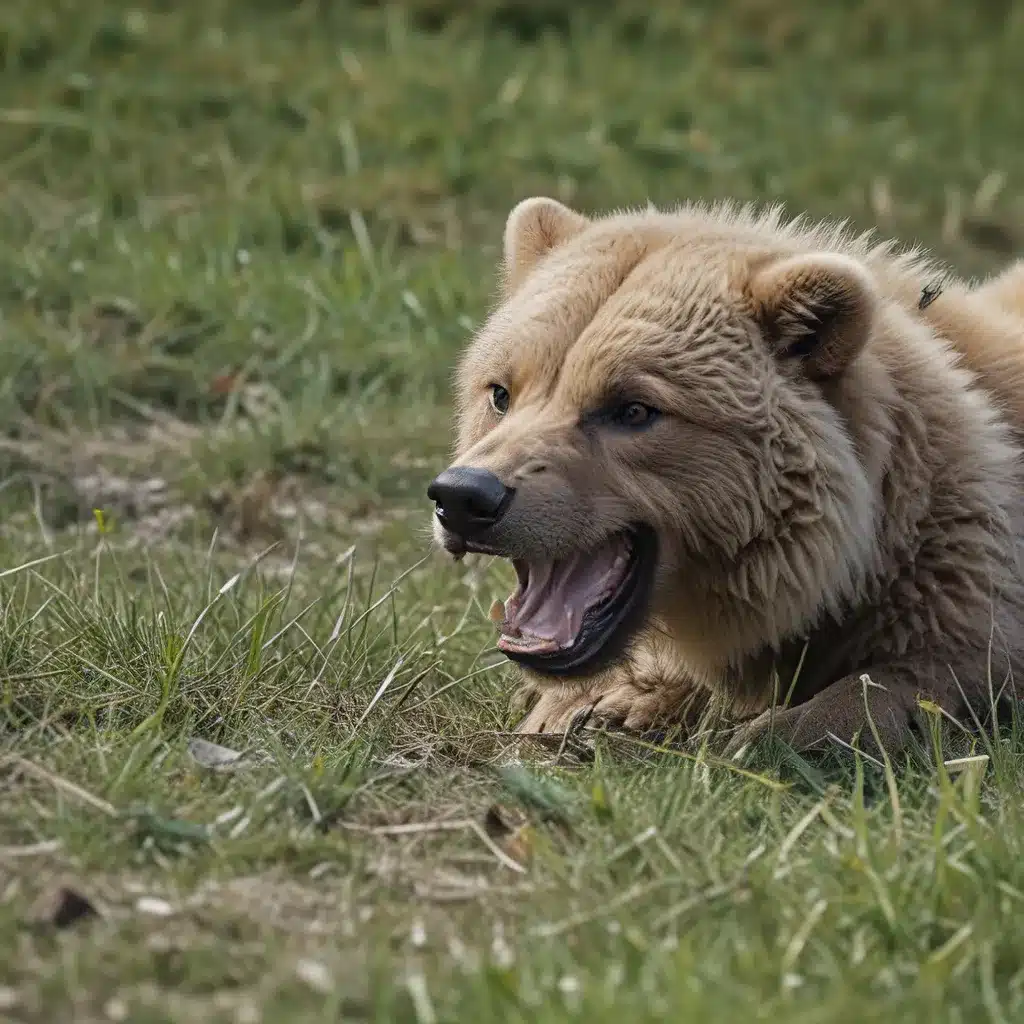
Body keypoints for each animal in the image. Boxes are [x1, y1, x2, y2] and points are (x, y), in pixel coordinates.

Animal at [423, 193, 1024, 753]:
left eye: (633, 408)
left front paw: (776, 732)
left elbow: (933, 672)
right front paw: (593, 706)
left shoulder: (955, 563)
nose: (466, 497)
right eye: (500, 392)